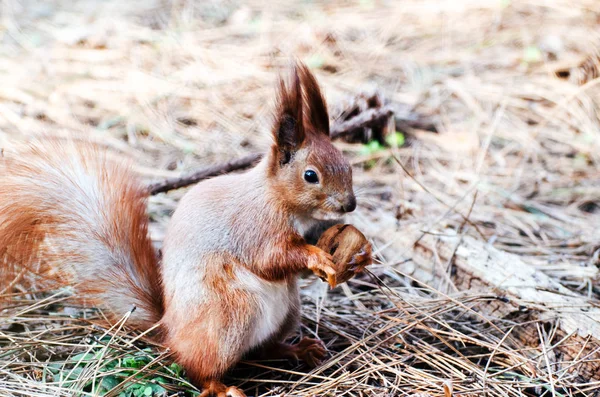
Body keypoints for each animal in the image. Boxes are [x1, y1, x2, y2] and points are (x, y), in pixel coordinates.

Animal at [0, 62, 370, 396]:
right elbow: (271, 259)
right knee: (197, 366)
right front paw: (316, 257)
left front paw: (358, 255)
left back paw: (298, 349)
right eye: (310, 175)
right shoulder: (254, 226)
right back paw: (220, 387)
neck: (286, 205)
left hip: (286, 313)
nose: (349, 205)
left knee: (262, 350)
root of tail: (169, 330)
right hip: (229, 315)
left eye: (348, 165)